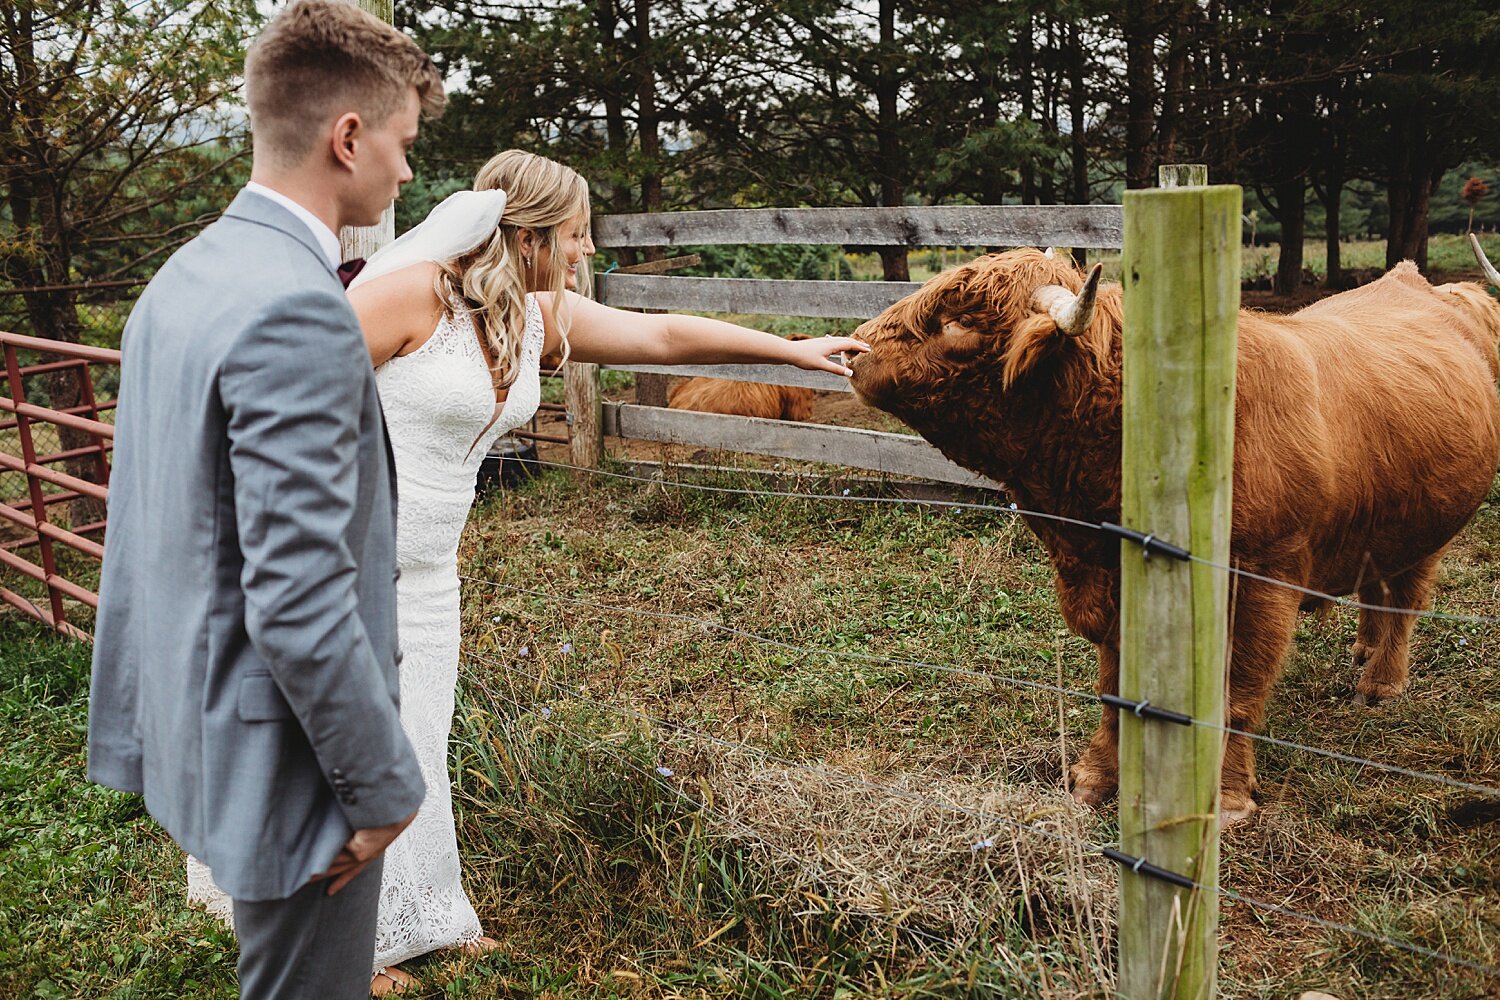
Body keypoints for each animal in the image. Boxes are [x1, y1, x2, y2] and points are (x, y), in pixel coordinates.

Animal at [846, 244, 1500, 821]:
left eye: (956, 322)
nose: (853, 350)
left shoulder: (1263, 578)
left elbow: (1239, 691)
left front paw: (1228, 796)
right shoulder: (1111, 578)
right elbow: (1114, 681)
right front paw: (1096, 777)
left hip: (1432, 522)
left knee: (1407, 597)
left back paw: (1381, 684)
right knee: (1378, 585)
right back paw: (1363, 652)